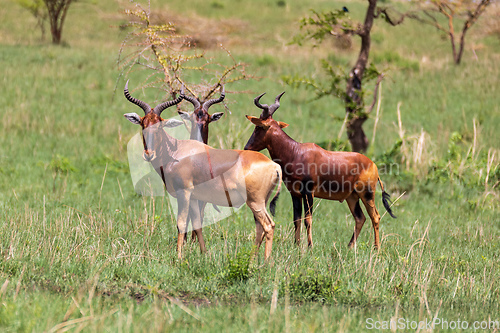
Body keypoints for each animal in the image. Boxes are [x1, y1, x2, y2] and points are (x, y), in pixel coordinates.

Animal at [123, 81, 284, 258]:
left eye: (159, 126)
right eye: (143, 124)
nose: (148, 154)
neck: (178, 150)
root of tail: (273, 165)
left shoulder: (184, 193)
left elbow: (181, 224)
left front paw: (179, 257)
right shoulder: (195, 197)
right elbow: (197, 224)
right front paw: (203, 254)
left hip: (255, 201)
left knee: (268, 225)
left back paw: (266, 261)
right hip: (261, 201)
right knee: (260, 227)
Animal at [244, 91, 396, 249]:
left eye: (258, 127)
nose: (246, 148)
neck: (296, 152)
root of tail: (373, 165)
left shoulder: (308, 192)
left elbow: (308, 219)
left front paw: (310, 246)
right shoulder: (295, 194)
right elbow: (296, 219)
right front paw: (297, 245)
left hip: (366, 194)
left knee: (375, 216)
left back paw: (376, 248)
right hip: (352, 197)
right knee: (360, 218)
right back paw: (349, 247)